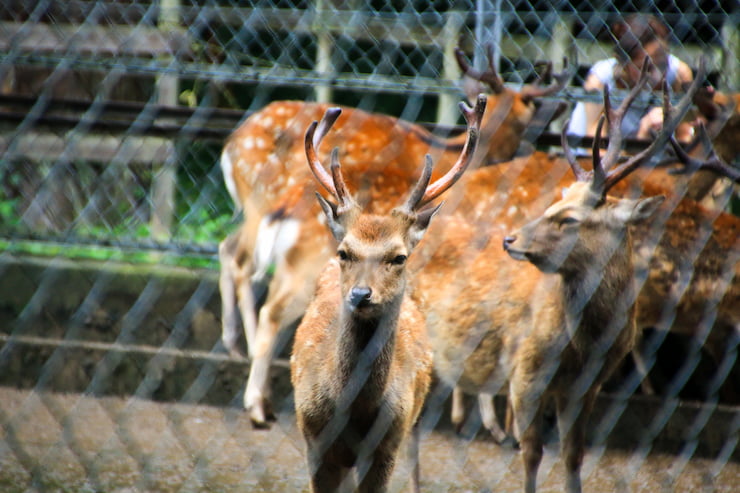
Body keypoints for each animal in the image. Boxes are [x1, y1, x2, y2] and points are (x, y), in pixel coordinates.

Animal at [290, 97, 486, 492]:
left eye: (399, 257)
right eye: (344, 252)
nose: (361, 294)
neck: (354, 411)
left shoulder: (386, 445)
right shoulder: (314, 440)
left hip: (411, 421)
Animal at [410, 61, 704, 492]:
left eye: (569, 218)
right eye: (555, 203)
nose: (510, 239)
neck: (582, 344)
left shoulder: (588, 386)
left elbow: (572, 456)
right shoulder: (525, 372)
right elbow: (531, 454)